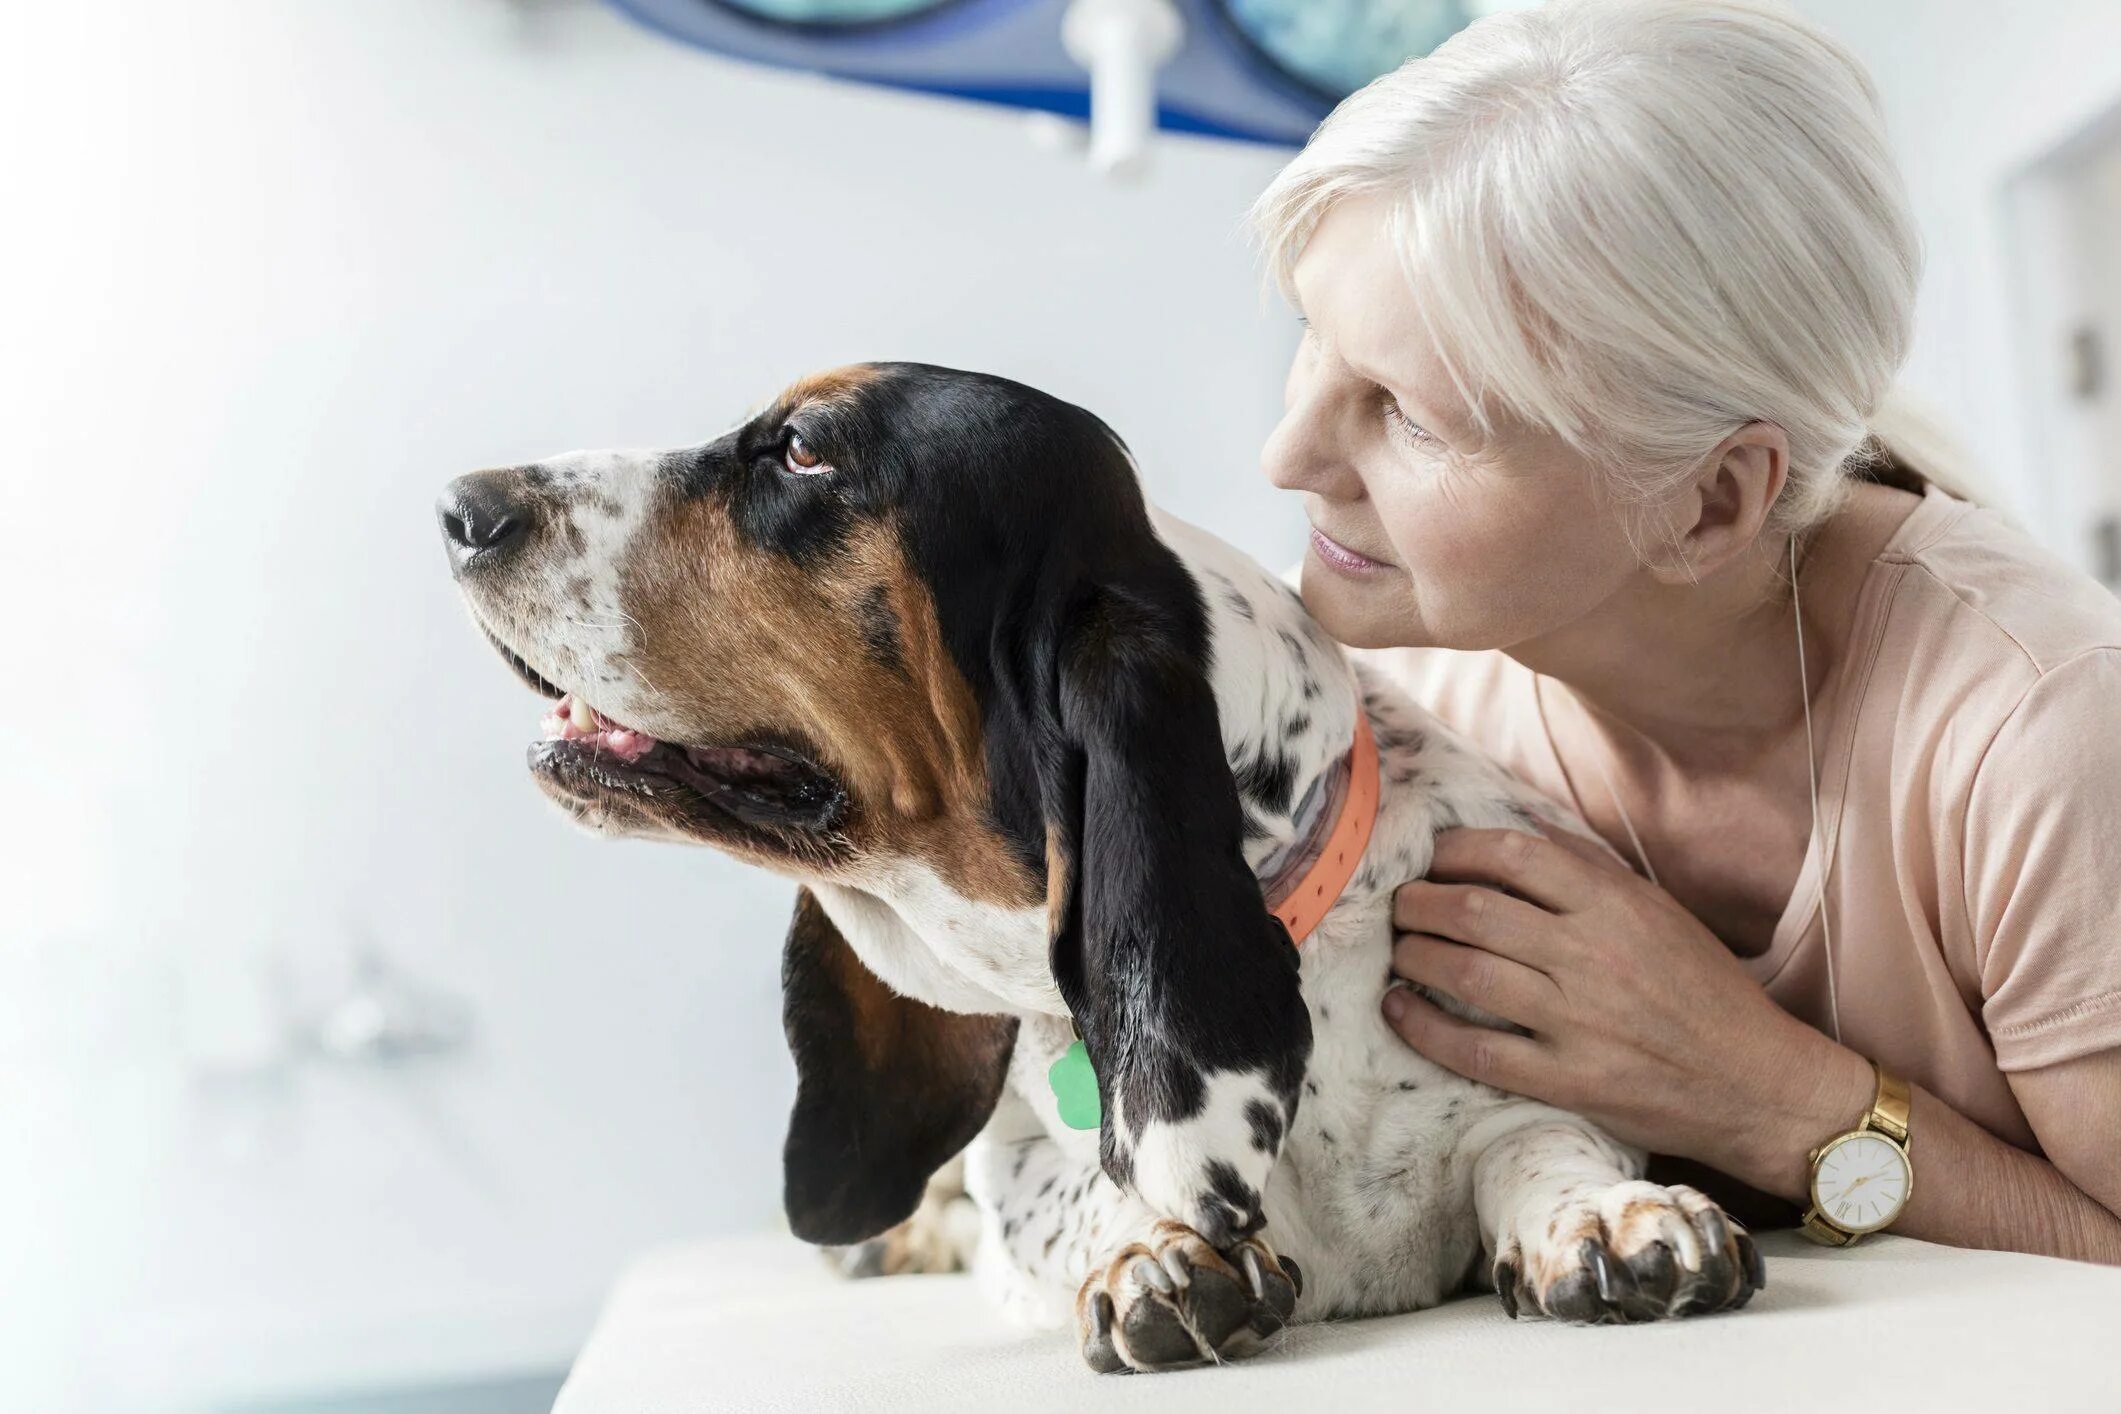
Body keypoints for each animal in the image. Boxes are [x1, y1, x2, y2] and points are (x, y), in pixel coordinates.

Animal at [443, 362, 1756, 1373]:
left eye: (804, 451)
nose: (459, 504)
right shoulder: (1023, 1174)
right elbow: (1068, 1198)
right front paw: (1154, 1253)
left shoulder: (1528, 1076)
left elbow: (1537, 1139)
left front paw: (1611, 1215)